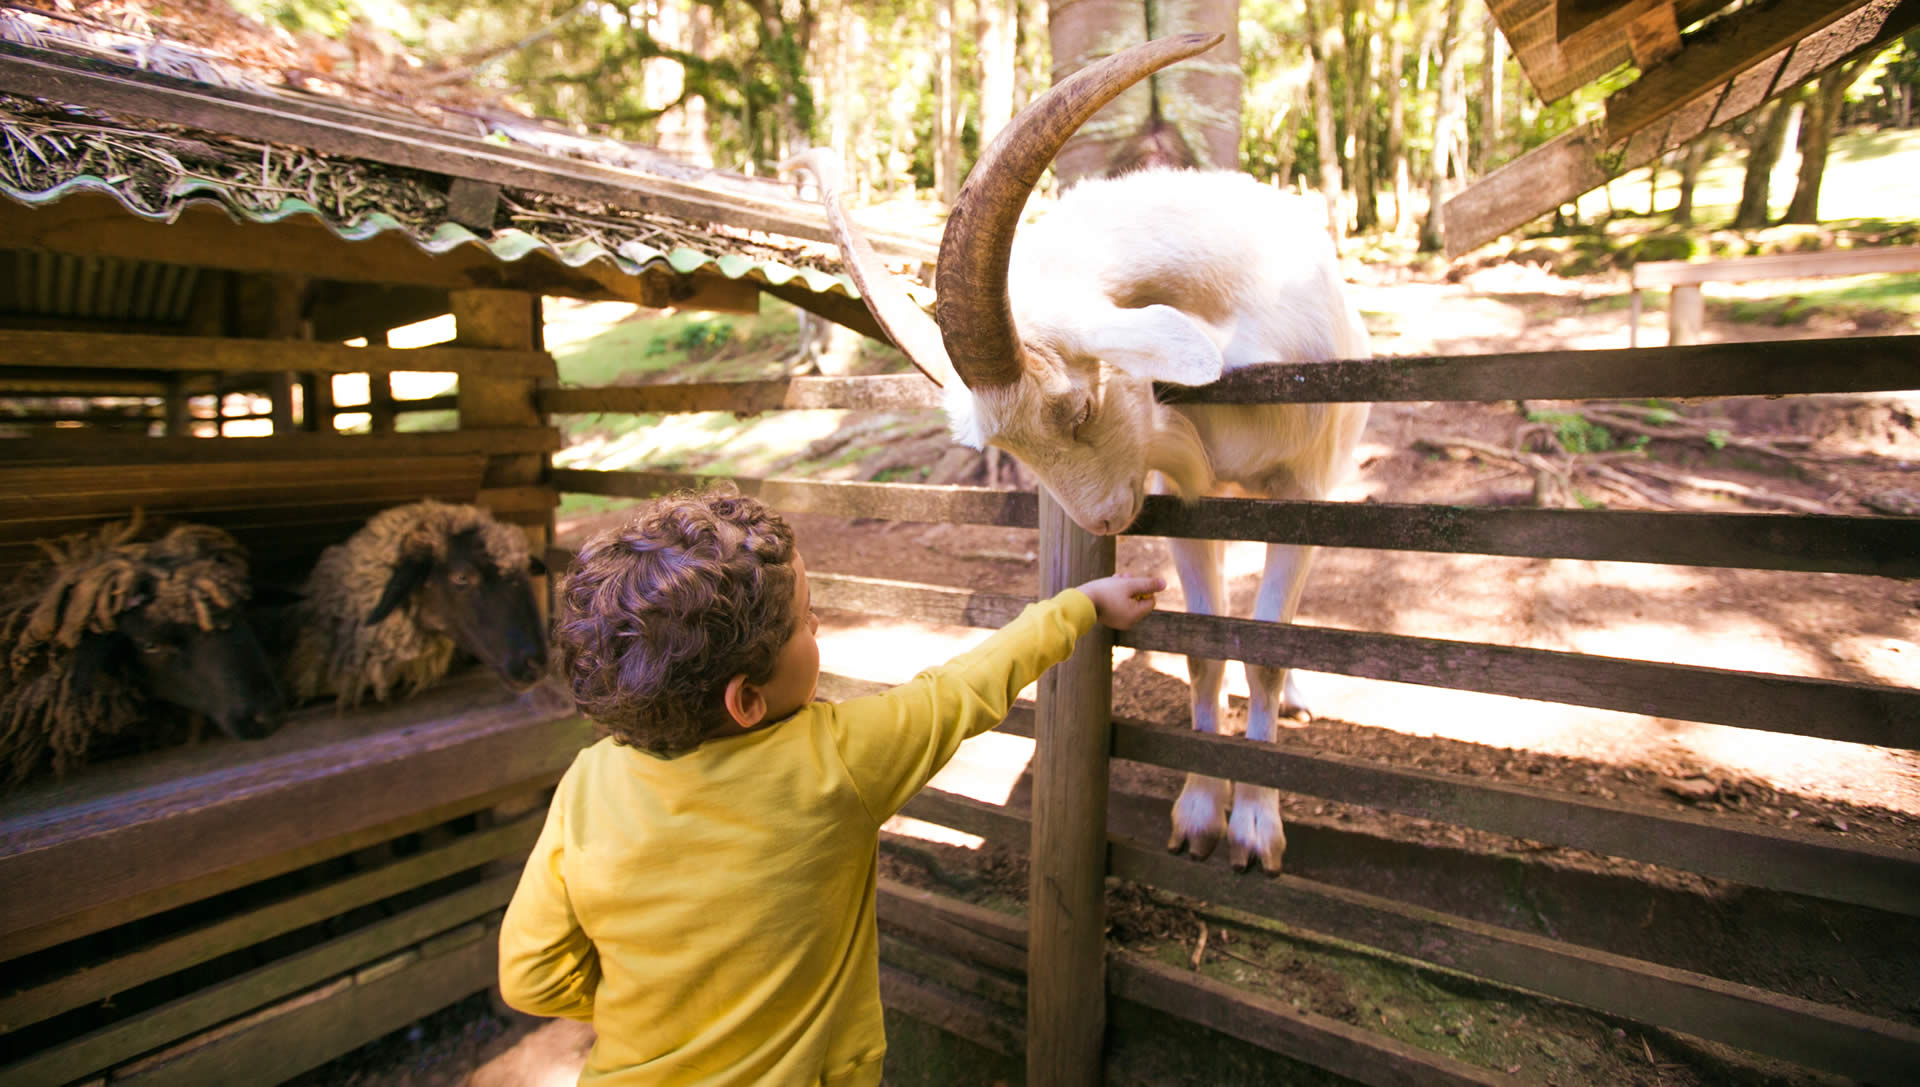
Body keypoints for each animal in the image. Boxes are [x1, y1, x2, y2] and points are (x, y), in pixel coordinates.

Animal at [787, 34, 1374, 883]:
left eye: (1078, 408)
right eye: (1010, 448)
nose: (1104, 519)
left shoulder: (1299, 487)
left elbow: (1264, 652)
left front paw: (1257, 828)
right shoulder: (1189, 496)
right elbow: (1204, 655)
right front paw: (1199, 816)